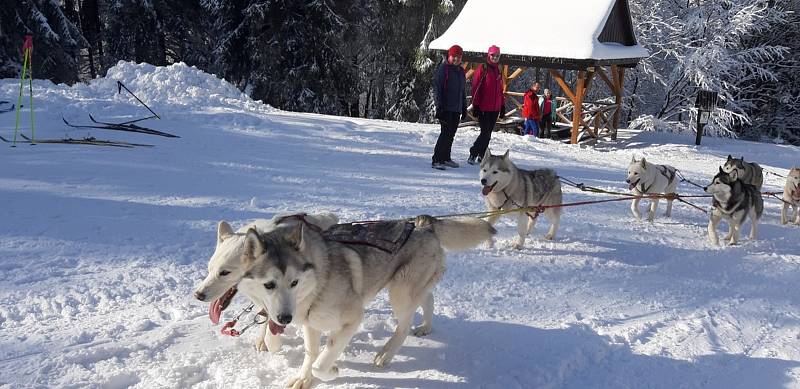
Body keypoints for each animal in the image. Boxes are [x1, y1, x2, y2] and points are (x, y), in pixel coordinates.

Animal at [197, 212, 340, 352]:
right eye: (209, 269)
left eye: (225, 272)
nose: (198, 295)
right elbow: (264, 318)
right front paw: (262, 340)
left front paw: (272, 340)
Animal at [241, 214, 496, 386]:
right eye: (269, 285)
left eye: (294, 282)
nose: (285, 318)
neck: (320, 281)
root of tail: (425, 224)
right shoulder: (310, 322)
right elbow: (311, 354)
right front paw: (304, 379)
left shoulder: (352, 319)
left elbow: (320, 363)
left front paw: (331, 370)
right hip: (411, 288)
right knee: (428, 298)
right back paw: (425, 327)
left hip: (400, 292)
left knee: (404, 326)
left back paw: (386, 353)